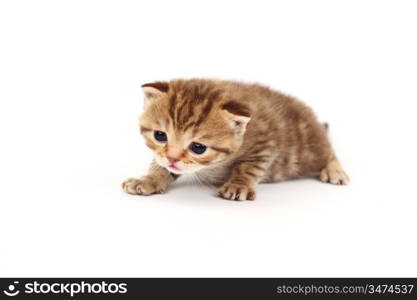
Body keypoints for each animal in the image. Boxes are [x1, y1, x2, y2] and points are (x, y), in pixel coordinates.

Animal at [121, 78, 348, 200]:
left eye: (198, 147)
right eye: (160, 135)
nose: (173, 158)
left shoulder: (265, 142)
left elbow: (249, 167)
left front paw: (238, 185)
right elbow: (160, 165)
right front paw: (148, 180)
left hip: (310, 152)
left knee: (329, 152)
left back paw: (335, 171)